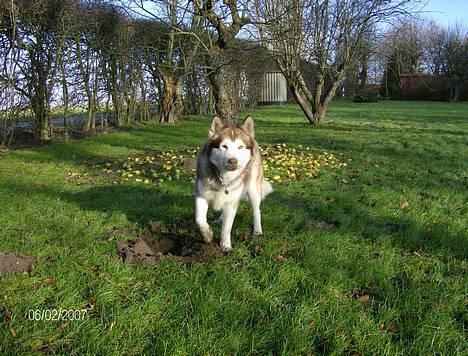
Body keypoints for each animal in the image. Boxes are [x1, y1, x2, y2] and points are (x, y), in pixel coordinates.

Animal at [195, 115, 274, 252]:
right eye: (224, 146)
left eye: (240, 147)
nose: (232, 161)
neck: (224, 180)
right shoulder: (201, 196)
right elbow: (200, 220)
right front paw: (208, 236)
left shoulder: (232, 201)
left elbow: (227, 228)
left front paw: (226, 246)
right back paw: (220, 218)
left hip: (253, 190)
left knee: (256, 211)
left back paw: (257, 230)